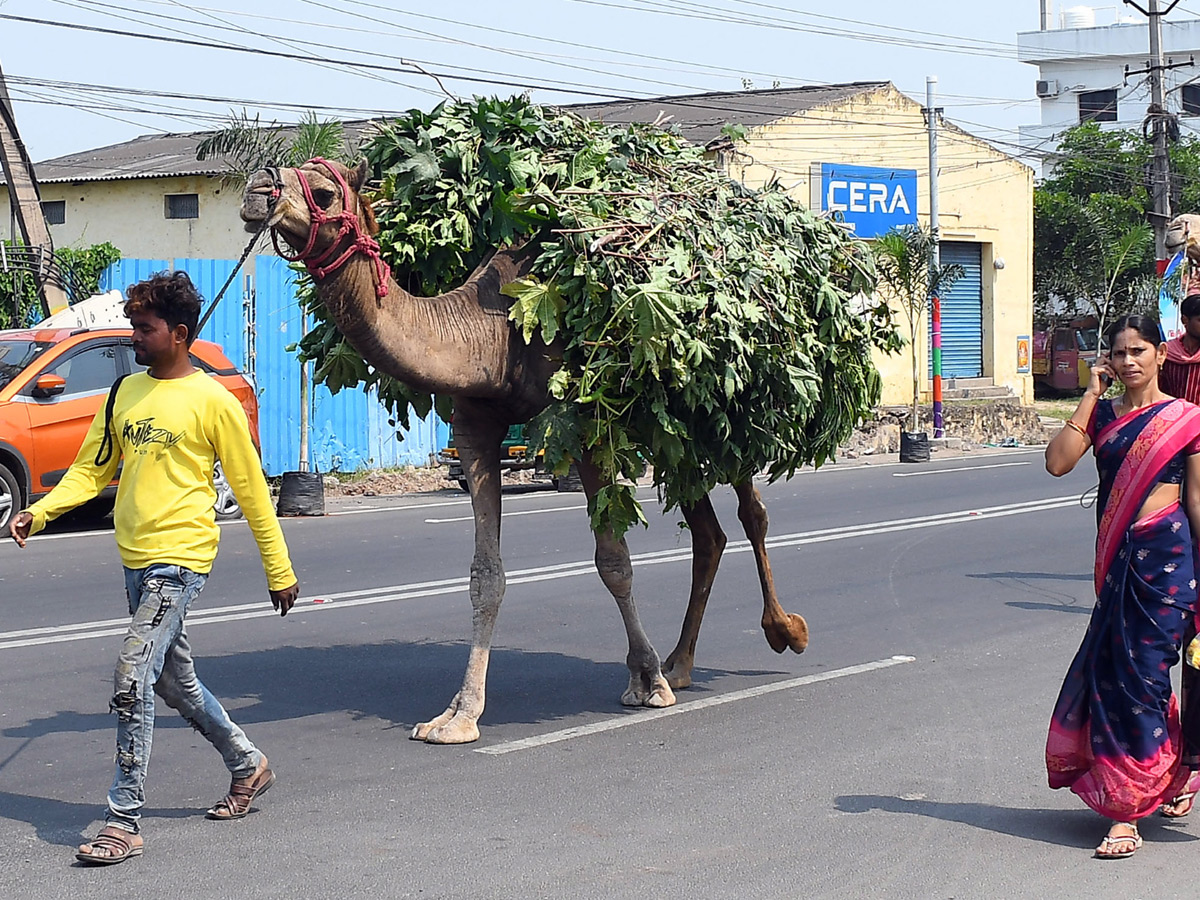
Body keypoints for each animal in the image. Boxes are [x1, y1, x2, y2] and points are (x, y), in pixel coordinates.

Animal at [240, 157, 811, 748]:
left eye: (325, 192)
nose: (258, 191)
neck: (494, 334)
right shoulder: (473, 427)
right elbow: (485, 575)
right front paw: (457, 716)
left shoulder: (582, 426)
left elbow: (614, 562)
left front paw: (646, 681)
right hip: (672, 435)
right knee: (709, 533)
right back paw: (681, 663)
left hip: (723, 411)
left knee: (751, 512)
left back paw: (780, 631)